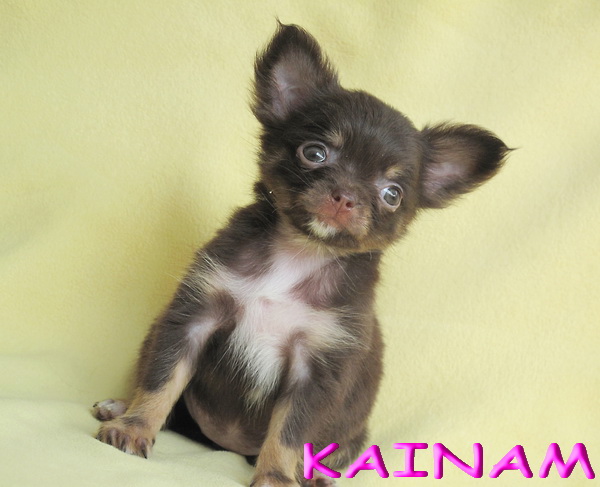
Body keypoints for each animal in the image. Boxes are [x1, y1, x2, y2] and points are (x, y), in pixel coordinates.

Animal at [94, 23, 509, 487]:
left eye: (392, 194)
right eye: (314, 153)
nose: (345, 195)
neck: (300, 252)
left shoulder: (319, 367)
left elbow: (291, 431)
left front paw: (277, 476)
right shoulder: (193, 319)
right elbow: (162, 380)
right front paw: (135, 427)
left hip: (353, 431)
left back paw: (317, 475)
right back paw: (119, 407)